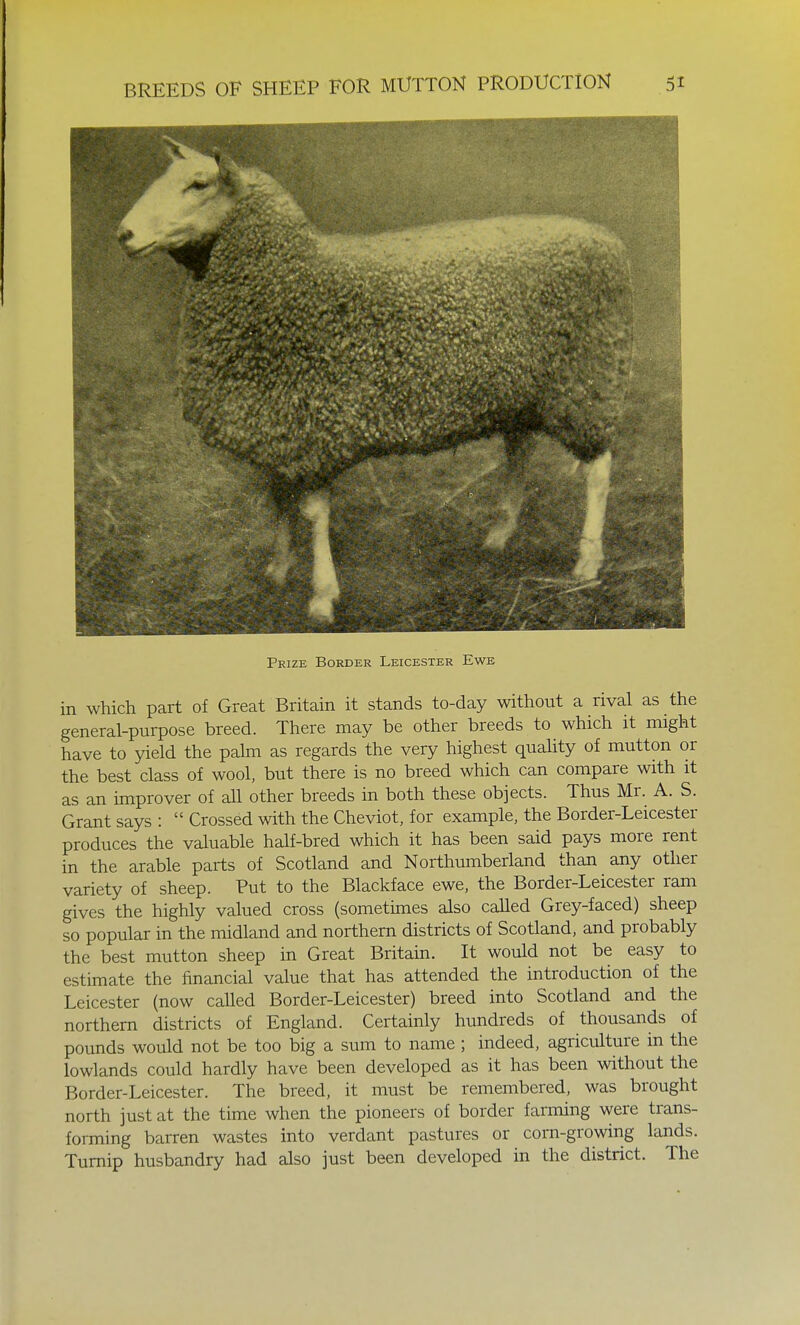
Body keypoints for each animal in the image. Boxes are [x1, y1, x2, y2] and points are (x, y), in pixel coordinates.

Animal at [117, 136, 633, 625]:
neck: (293, 277)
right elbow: (278, 501)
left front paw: (322, 596)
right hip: (523, 388)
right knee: (520, 452)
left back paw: (587, 562)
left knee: (599, 470)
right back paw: (499, 534)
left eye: (198, 184)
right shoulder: (277, 428)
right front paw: (278, 569)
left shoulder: (315, 426)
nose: (124, 233)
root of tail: (605, 236)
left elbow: (313, 513)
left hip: (587, 379)